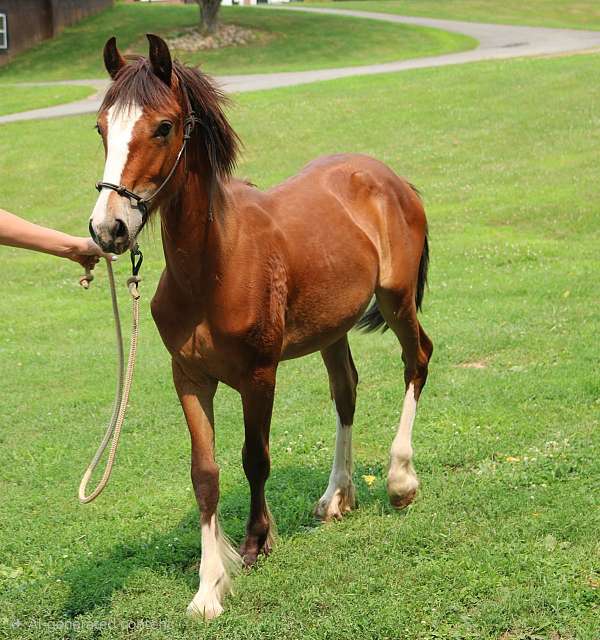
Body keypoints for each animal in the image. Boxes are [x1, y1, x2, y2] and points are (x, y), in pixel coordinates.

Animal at [89, 34, 433, 620]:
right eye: (101, 127)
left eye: (163, 127)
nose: (108, 228)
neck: (214, 268)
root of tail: (390, 178)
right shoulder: (190, 378)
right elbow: (204, 475)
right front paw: (209, 587)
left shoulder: (259, 376)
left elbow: (255, 459)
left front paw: (255, 543)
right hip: (332, 329)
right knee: (346, 391)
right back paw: (336, 497)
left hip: (397, 300)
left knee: (417, 360)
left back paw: (400, 480)